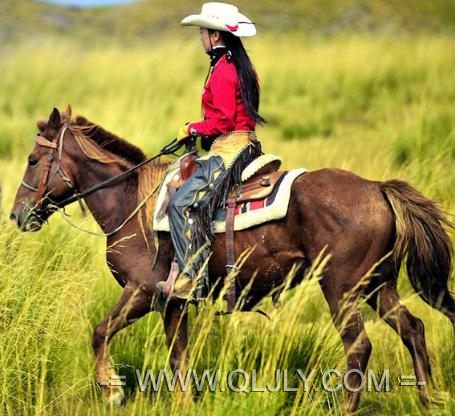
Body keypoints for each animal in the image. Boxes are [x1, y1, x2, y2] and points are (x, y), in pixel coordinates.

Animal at [10, 107, 455, 412]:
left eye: (32, 159)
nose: (17, 215)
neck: (132, 204)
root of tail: (378, 188)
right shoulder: (173, 302)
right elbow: (178, 356)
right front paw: (183, 404)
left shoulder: (143, 292)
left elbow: (100, 332)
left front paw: (112, 390)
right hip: (378, 285)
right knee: (413, 329)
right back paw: (428, 399)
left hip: (340, 289)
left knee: (359, 346)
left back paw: (348, 408)